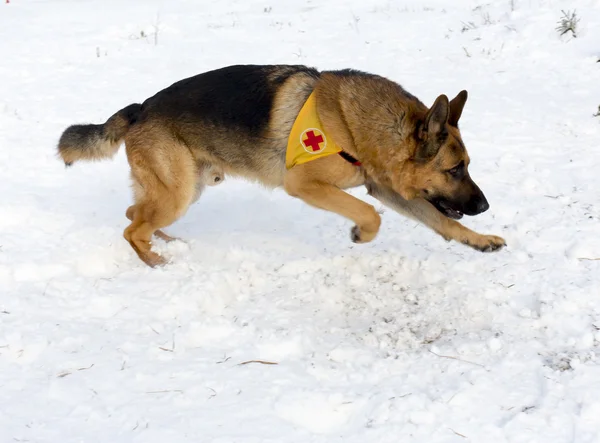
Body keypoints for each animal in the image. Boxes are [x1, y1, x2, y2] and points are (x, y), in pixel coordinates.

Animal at [57, 65, 506, 268]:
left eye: (466, 165)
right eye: (455, 169)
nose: (485, 206)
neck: (356, 125)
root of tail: (139, 109)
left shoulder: (387, 189)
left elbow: (442, 221)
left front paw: (479, 239)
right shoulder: (307, 186)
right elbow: (369, 214)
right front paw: (360, 234)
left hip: (185, 188)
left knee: (134, 214)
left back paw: (164, 243)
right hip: (179, 193)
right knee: (132, 227)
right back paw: (157, 262)